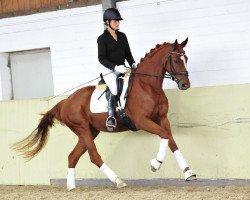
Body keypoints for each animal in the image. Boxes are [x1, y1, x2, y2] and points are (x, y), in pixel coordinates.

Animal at [12, 38, 195, 191]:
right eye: (176, 60)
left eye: (186, 59)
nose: (185, 84)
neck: (147, 86)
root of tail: (66, 101)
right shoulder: (141, 121)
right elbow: (164, 135)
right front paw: (156, 164)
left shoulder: (162, 119)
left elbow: (171, 141)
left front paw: (188, 172)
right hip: (83, 128)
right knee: (94, 156)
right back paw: (117, 181)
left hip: (89, 132)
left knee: (72, 156)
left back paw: (71, 187)